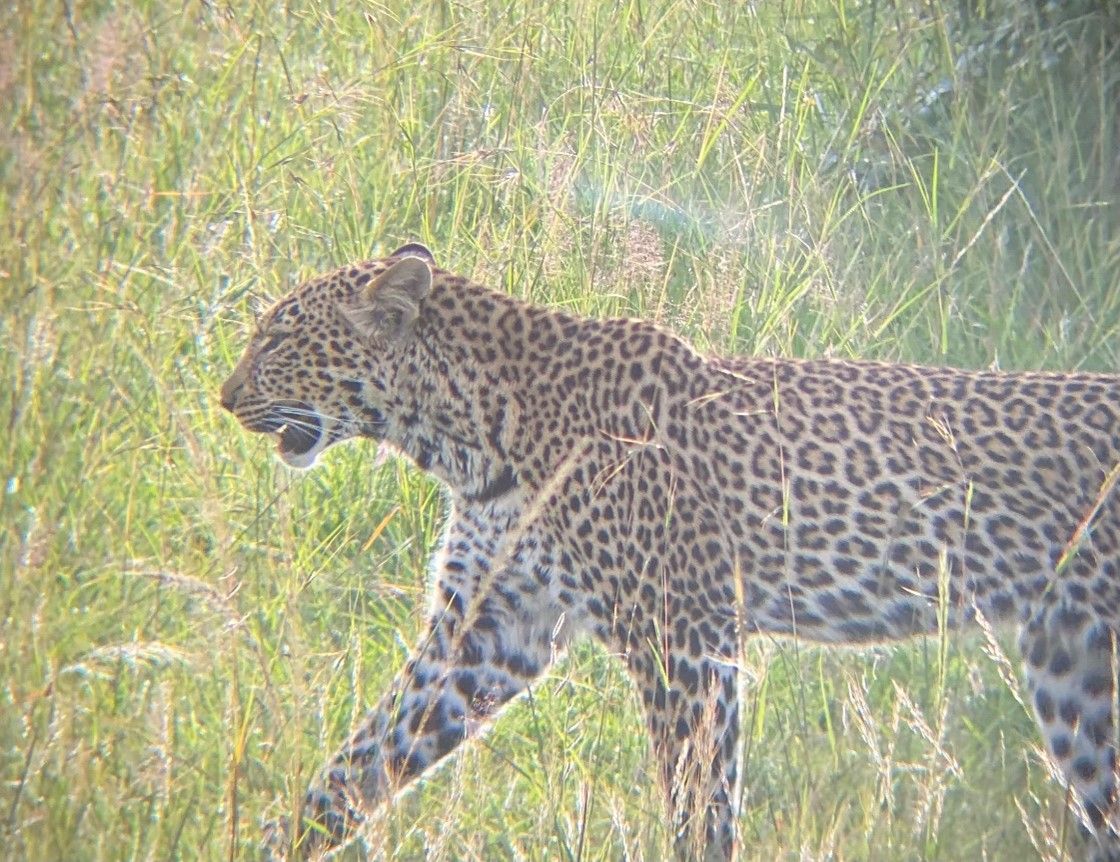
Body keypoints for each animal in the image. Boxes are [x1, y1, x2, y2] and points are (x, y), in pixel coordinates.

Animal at [218, 238, 1120, 855]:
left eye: (277, 342)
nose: (223, 398)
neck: (469, 439)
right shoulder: (488, 629)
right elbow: (362, 760)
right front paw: (269, 841)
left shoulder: (683, 639)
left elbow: (698, 803)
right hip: (1075, 666)